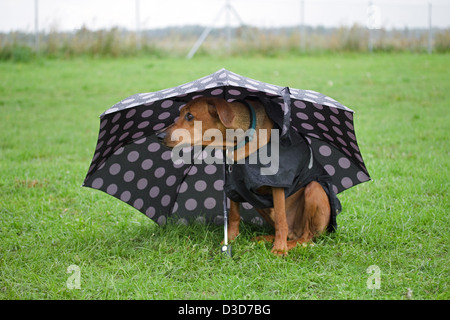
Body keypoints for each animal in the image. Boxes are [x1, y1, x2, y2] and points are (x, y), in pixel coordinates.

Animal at [158, 97, 334, 255]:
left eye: (189, 116)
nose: (159, 136)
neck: (238, 141)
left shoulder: (277, 181)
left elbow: (281, 220)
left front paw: (279, 249)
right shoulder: (235, 183)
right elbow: (234, 215)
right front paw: (230, 239)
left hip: (314, 189)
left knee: (306, 238)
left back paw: (287, 244)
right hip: (260, 204)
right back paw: (264, 239)